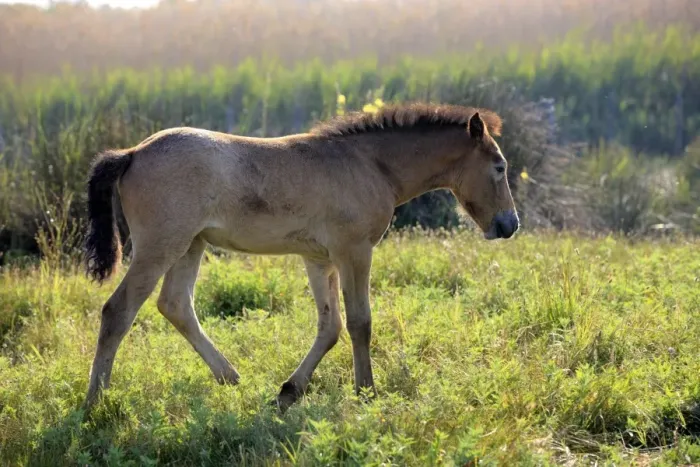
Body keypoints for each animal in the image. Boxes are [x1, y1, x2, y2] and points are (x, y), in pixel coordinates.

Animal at [83, 103, 520, 412]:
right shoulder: (353, 252)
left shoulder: (319, 259)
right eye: (500, 167)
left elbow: (331, 327)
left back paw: (231, 378)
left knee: (175, 304)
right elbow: (360, 322)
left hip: (191, 244)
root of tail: (132, 153)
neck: (370, 165)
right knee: (118, 311)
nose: (509, 224)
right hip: (160, 246)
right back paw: (94, 405)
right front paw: (366, 391)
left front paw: (288, 392)